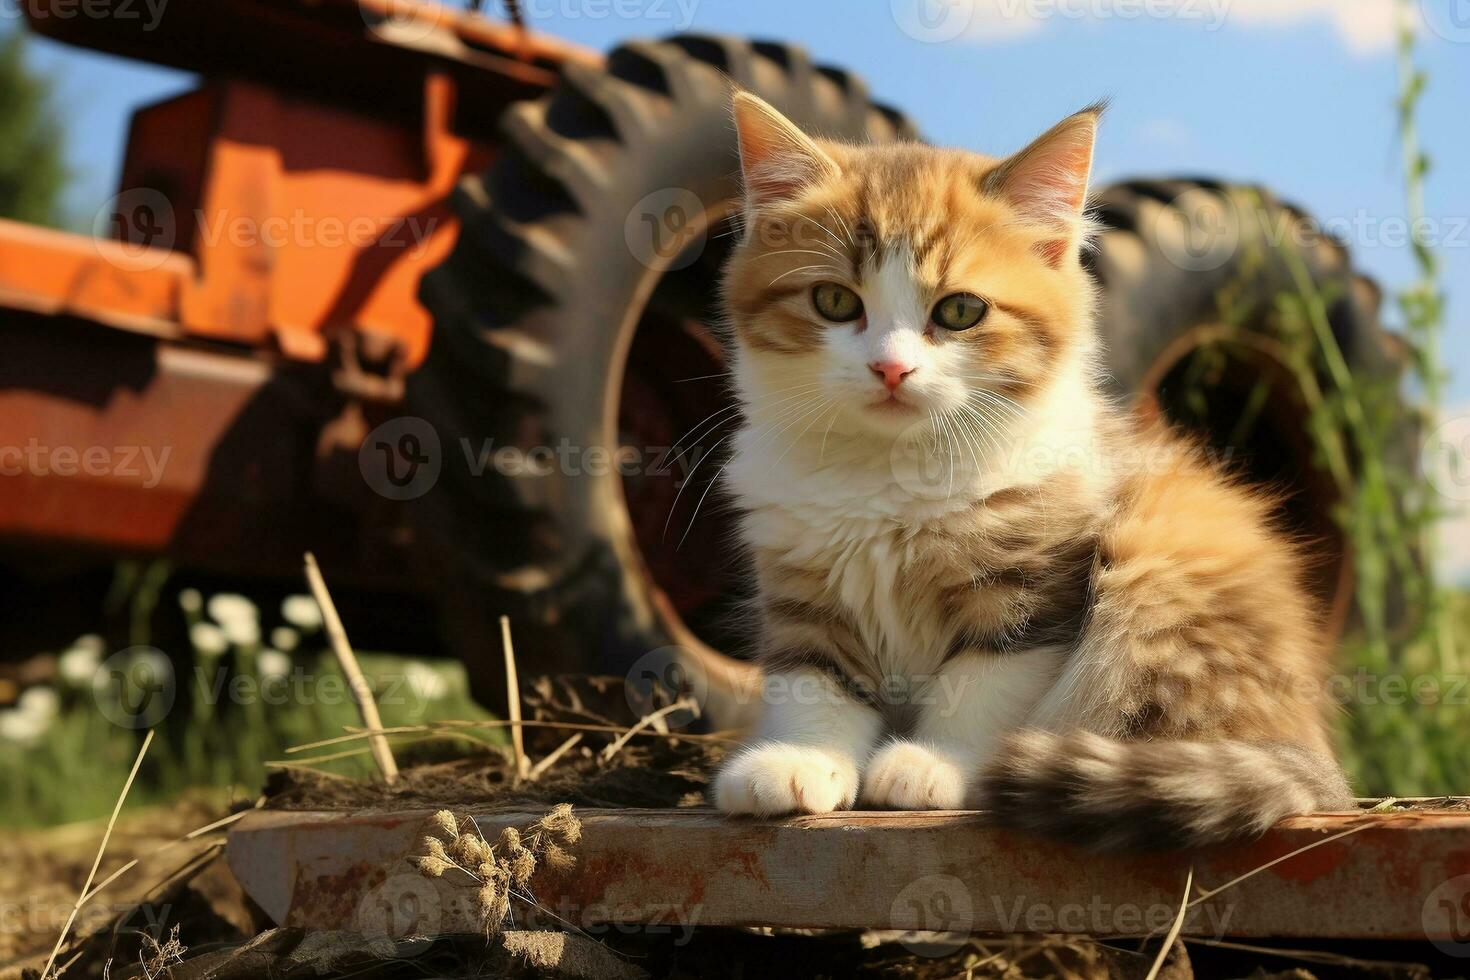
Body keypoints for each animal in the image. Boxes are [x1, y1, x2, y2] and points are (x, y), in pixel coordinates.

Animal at [711, 91, 1352, 852]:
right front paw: (797, 760)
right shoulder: (802, 584)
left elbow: (984, 681)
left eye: (960, 310)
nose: (891, 369)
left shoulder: (1033, 586)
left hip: (1155, 569)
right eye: (835, 302)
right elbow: (813, 681)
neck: (892, 474)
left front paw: (938, 763)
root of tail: (1307, 746)